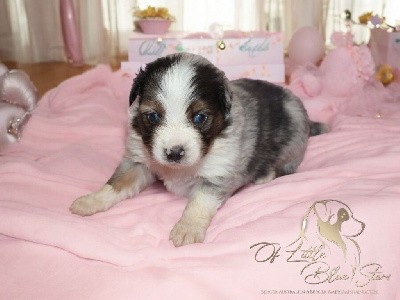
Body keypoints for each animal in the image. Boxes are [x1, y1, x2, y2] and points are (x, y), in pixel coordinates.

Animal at [71, 52, 328, 247]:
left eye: (199, 117)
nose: (174, 153)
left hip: (293, 143)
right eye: (152, 116)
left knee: (286, 168)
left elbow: (199, 203)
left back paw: (264, 175)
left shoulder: (218, 174)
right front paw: (91, 201)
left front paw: (187, 228)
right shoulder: (138, 161)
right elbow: (117, 183)